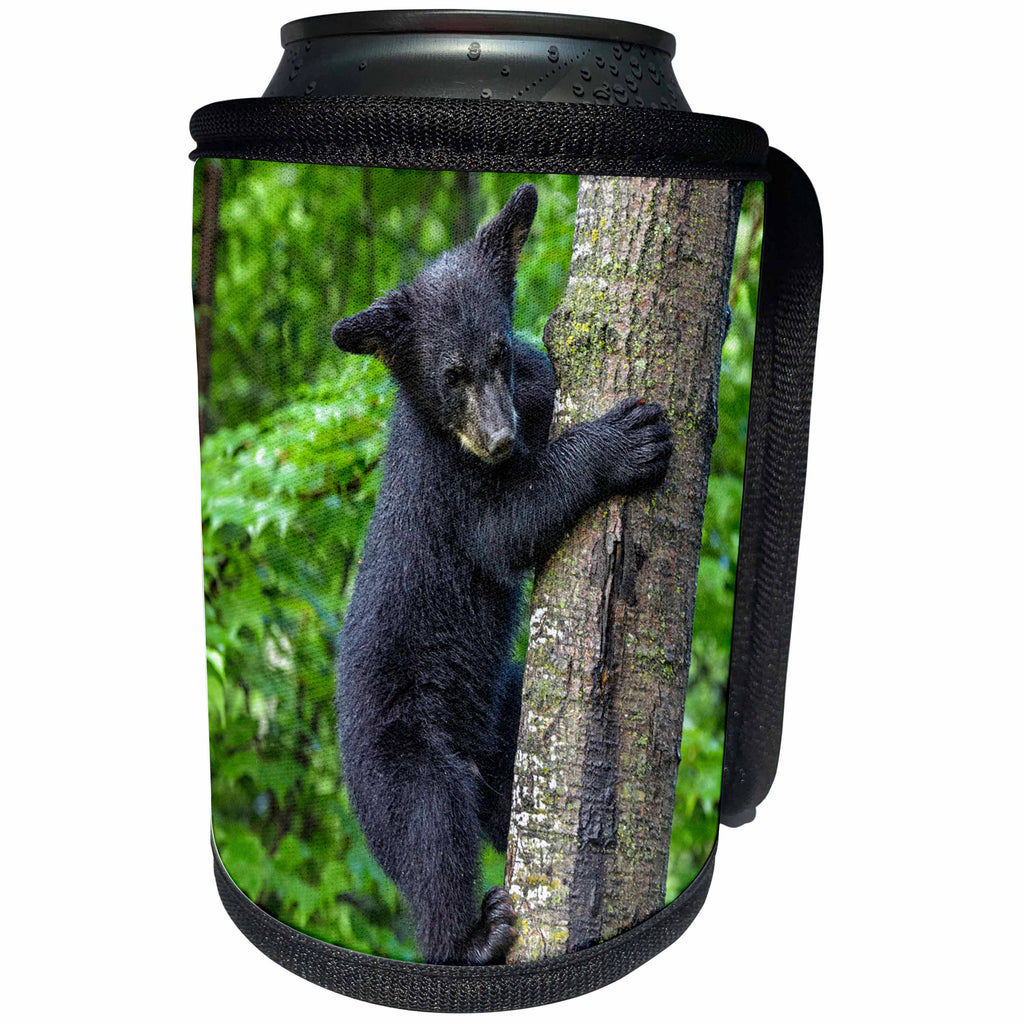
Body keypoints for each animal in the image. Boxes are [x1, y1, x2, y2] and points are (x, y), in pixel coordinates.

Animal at [331, 182, 673, 965]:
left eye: (494, 355)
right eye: (450, 376)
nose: (499, 437)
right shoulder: (446, 483)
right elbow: (506, 523)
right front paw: (624, 440)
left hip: (496, 717)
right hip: (400, 756)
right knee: (430, 832)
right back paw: (473, 939)